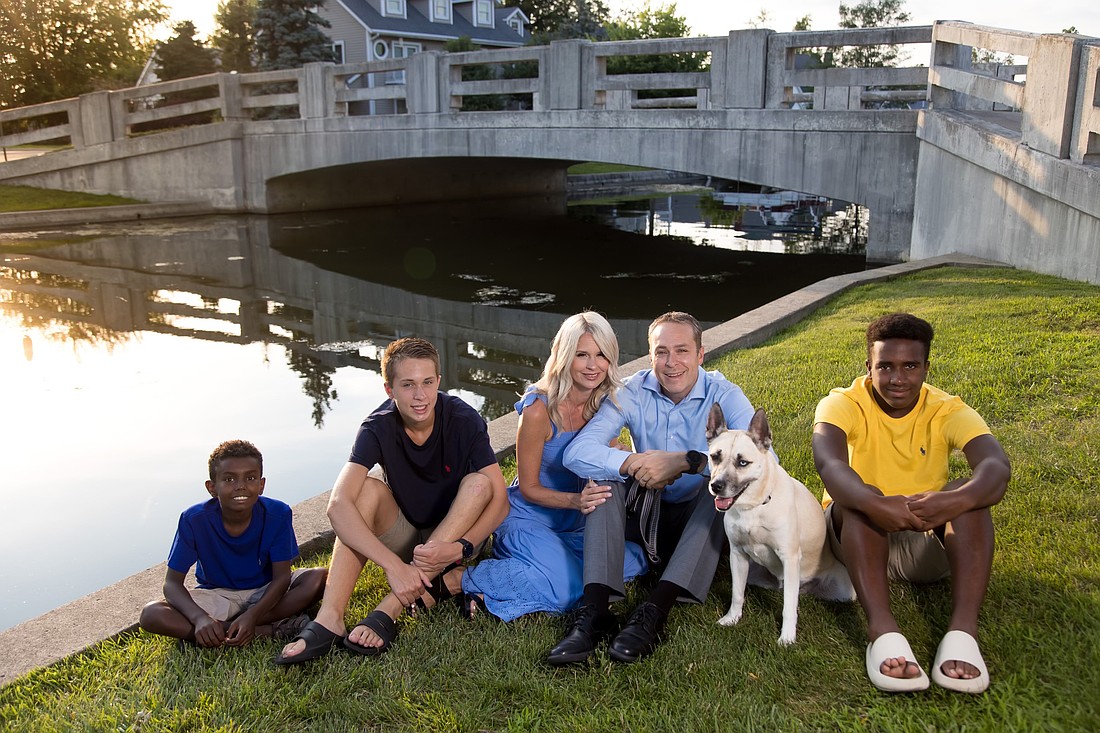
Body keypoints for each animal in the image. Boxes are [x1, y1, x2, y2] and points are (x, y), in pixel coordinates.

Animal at [708, 402, 853, 642]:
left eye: (743, 462)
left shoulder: (789, 556)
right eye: (714, 456)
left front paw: (787, 637)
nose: (716, 486)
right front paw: (732, 618)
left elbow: (788, 607)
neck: (754, 507)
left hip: (845, 590)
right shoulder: (737, 555)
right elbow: (737, 594)